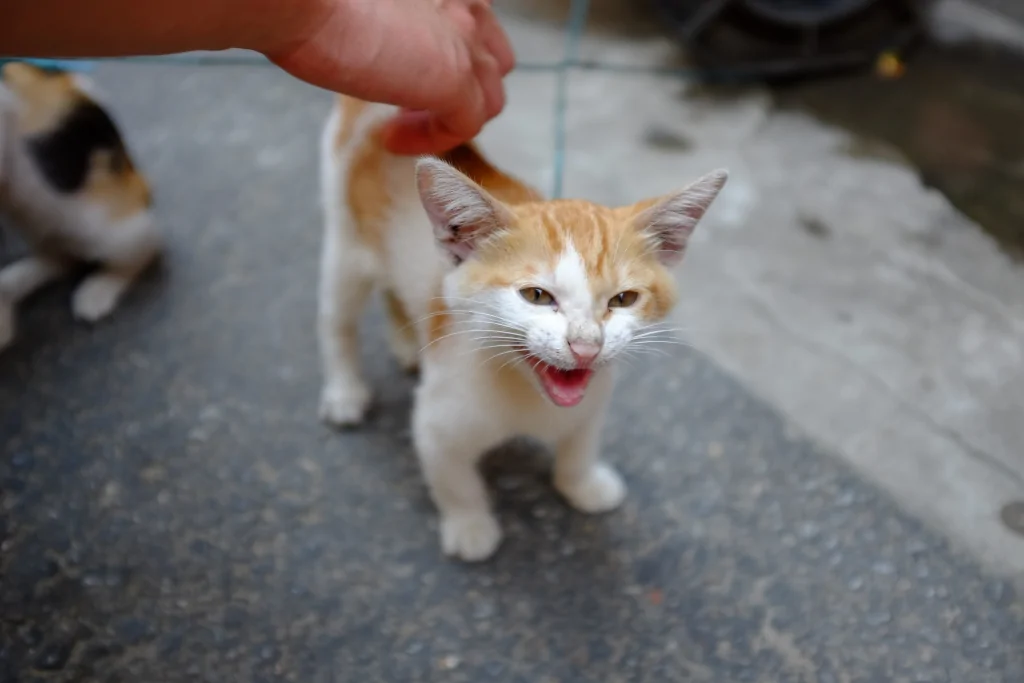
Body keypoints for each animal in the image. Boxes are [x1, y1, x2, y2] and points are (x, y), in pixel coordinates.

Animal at [319, 97, 729, 565]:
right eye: (536, 295)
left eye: (623, 299)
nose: (586, 346)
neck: (526, 393)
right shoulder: (437, 418)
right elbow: (452, 478)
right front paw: (470, 526)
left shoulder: (592, 402)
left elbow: (579, 443)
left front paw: (581, 483)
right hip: (345, 240)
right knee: (337, 319)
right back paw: (345, 390)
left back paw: (406, 342)